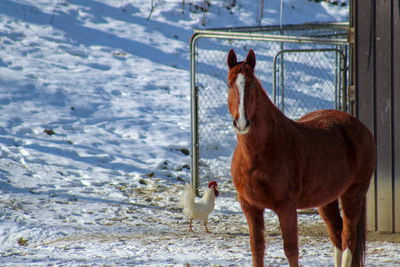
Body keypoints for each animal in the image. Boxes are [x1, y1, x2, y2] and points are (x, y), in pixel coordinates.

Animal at [227, 48, 376, 267]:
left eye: (252, 84)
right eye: (229, 84)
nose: (242, 123)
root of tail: (360, 127)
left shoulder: (286, 208)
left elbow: (291, 250)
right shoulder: (250, 207)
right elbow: (257, 249)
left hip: (353, 195)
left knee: (348, 240)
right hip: (327, 200)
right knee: (337, 235)